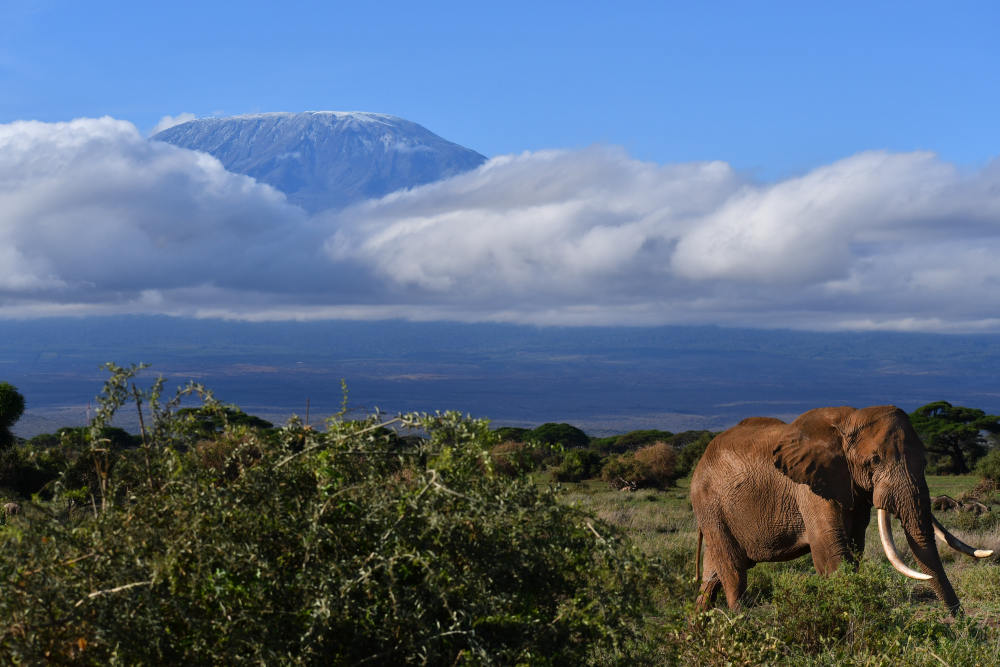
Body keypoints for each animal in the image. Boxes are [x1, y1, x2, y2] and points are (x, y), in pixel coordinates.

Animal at [696, 402, 992, 616]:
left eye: (925, 460)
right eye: (874, 461)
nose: (960, 621)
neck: (849, 420)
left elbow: (854, 546)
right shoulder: (810, 487)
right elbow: (831, 550)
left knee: (712, 576)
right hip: (711, 505)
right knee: (733, 571)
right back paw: (740, 620)